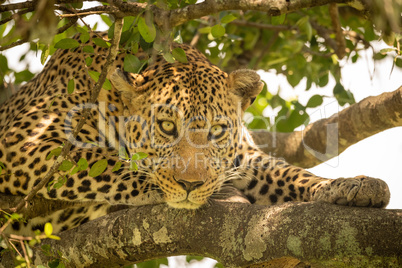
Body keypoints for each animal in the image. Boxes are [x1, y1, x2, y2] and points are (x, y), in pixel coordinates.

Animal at [0, 33, 390, 234]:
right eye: (166, 126)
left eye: (217, 131)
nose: (190, 185)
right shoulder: (22, 142)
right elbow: (108, 165)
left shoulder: (244, 158)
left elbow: (291, 173)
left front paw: (352, 185)